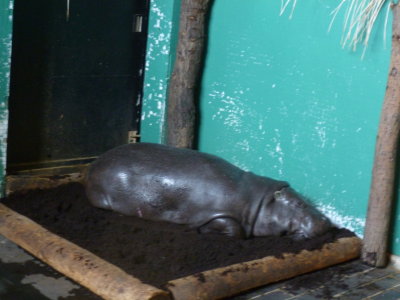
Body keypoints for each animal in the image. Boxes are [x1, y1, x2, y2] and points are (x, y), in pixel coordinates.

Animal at [86, 142, 332, 239]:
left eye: (307, 199)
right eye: (299, 203)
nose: (327, 221)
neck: (258, 200)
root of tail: (95, 163)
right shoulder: (215, 213)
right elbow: (235, 229)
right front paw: (202, 232)